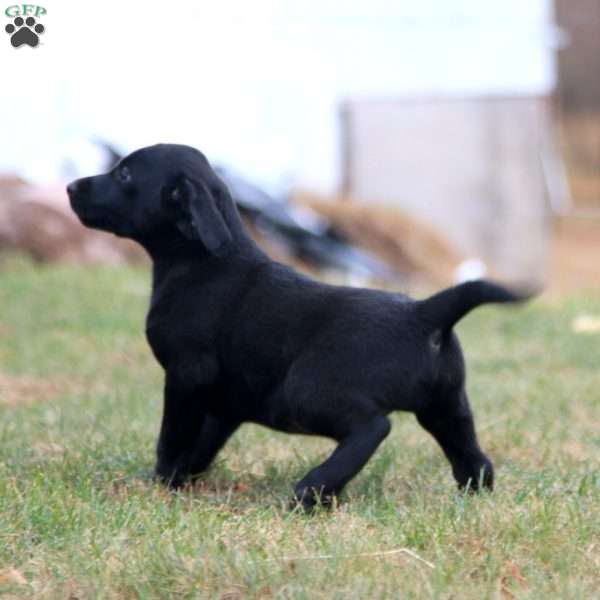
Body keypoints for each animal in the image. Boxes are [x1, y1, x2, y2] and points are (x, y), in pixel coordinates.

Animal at [68, 143, 528, 508]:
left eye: (124, 173)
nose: (71, 187)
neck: (200, 262)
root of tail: (425, 312)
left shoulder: (185, 376)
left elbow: (172, 439)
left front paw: (159, 484)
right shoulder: (222, 405)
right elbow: (201, 446)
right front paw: (182, 482)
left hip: (305, 393)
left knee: (373, 428)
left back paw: (311, 491)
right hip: (447, 406)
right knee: (473, 456)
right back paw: (472, 491)